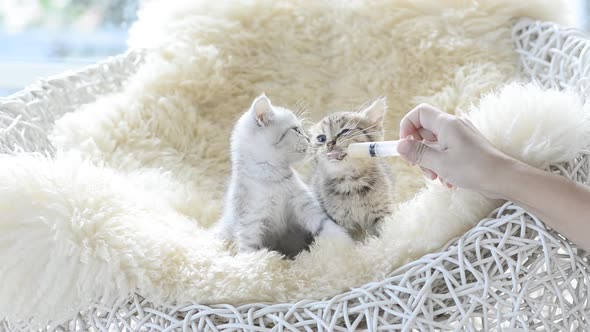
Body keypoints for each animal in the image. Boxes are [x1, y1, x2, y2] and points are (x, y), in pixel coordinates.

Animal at [216, 94, 352, 258]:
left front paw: (347, 246)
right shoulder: (250, 221)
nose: (308, 139)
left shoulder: (304, 204)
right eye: (296, 130)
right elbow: (248, 249)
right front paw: (253, 262)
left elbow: (326, 225)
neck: (271, 178)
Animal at [310, 98, 398, 241]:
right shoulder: (341, 222)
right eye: (321, 138)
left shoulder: (383, 212)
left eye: (344, 131)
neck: (351, 182)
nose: (330, 143)